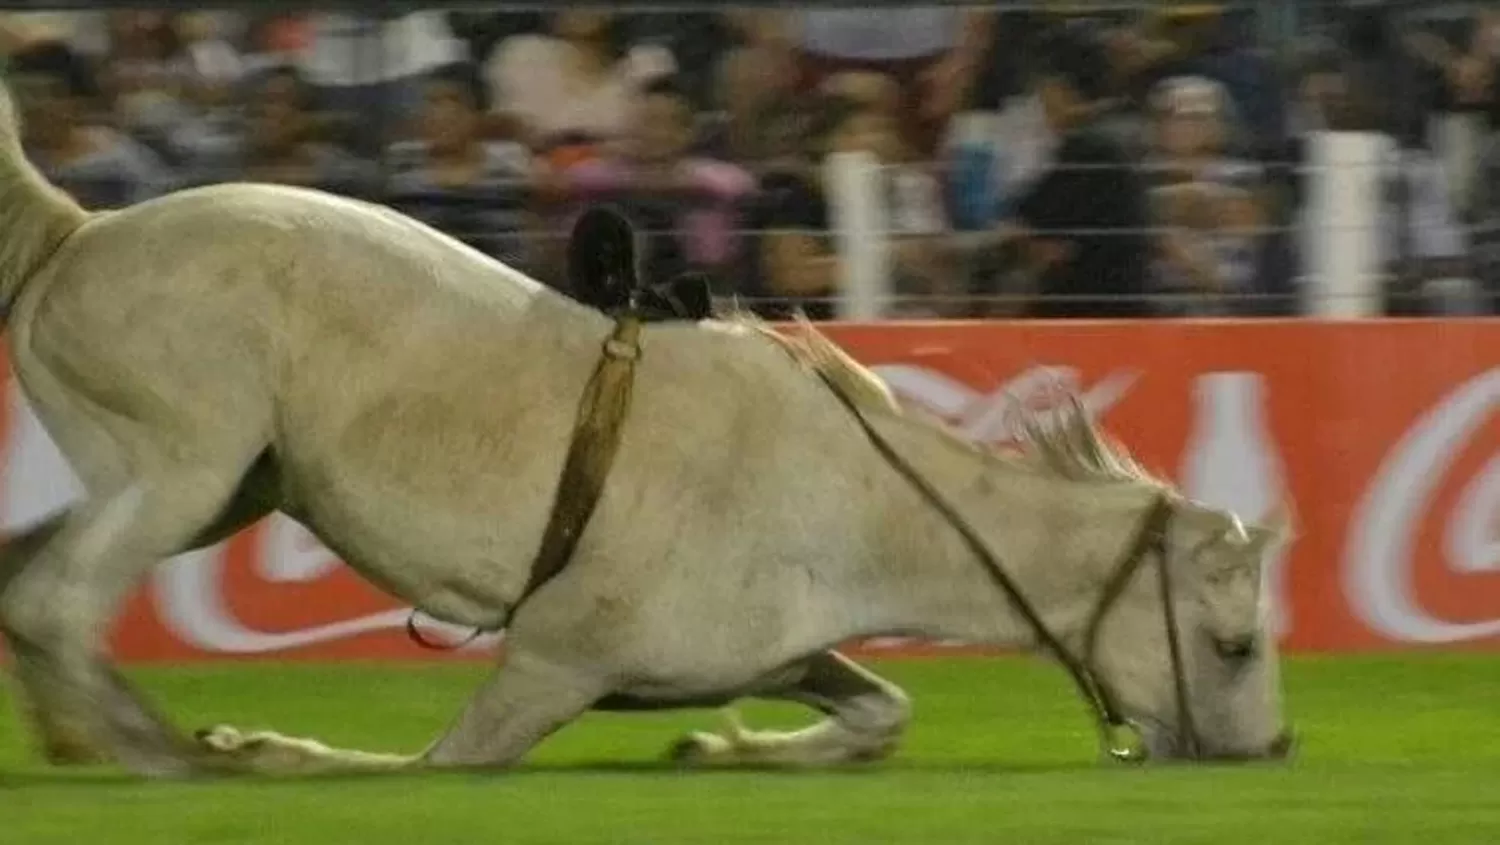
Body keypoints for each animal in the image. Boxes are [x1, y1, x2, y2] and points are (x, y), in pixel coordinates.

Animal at [0, 79, 1290, 780]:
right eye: (1234, 643)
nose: (1273, 749)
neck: (854, 498)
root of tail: (78, 231)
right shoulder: (552, 661)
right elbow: (433, 762)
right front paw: (260, 748)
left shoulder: (768, 650)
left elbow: (881, 711)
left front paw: (723, 749)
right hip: (185, 469)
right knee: (56, 602)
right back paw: (163, 751)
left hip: (222, 486)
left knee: (26, 583)